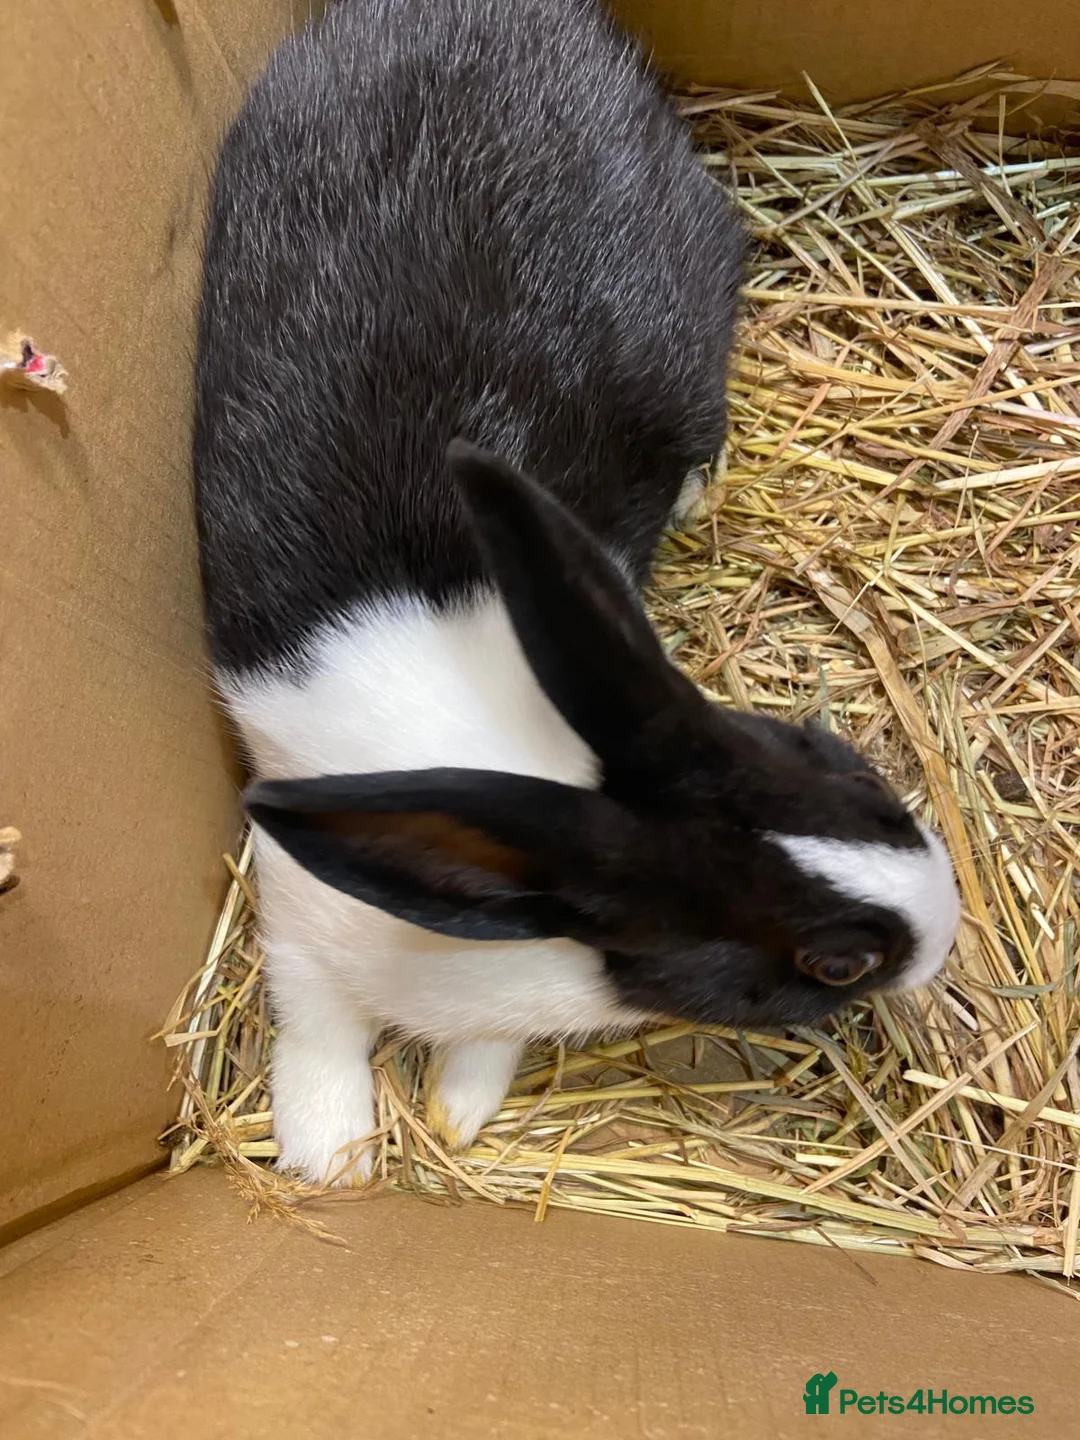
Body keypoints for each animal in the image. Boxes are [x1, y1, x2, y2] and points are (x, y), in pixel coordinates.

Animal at [193, 0, 961, 1186]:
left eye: (845, 764)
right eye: (835, 963)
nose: (948, 925)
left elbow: (482, 1051)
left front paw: (454, 1115)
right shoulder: (297, 920)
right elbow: (317, 1028)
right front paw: (335, 1155)